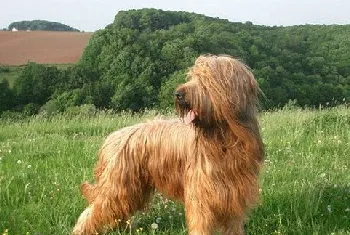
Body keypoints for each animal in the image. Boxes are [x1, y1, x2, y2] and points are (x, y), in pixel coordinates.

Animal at [74, 54, 266, 235]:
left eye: (204, 78)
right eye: (192, 76)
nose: (178, 94)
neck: (222, 138)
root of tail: (111, 138)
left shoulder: (235, 193)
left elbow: (234, 225)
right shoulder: (201, 194)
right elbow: (201, 223)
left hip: (132, 188)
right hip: (118, 185)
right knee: (94, 210)